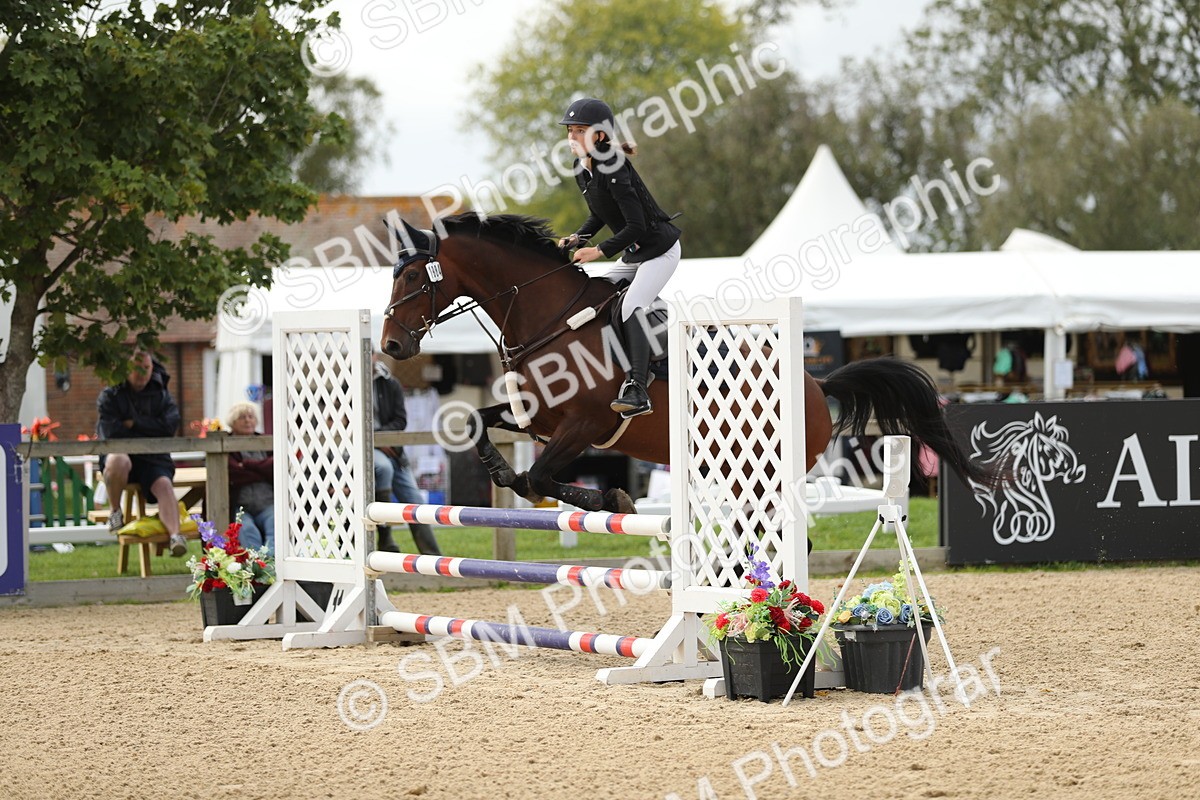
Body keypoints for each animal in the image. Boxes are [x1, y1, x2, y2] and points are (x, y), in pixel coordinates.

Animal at [380, 213, 991, 514]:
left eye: (412, 278)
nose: (389, 347)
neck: (546, 317)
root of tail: (817, 385)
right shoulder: (539, 419)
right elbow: (479, 424)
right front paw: (500, 472)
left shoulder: (582, 426)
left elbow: (543, 476)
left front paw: (611, 497)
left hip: (764, 473)